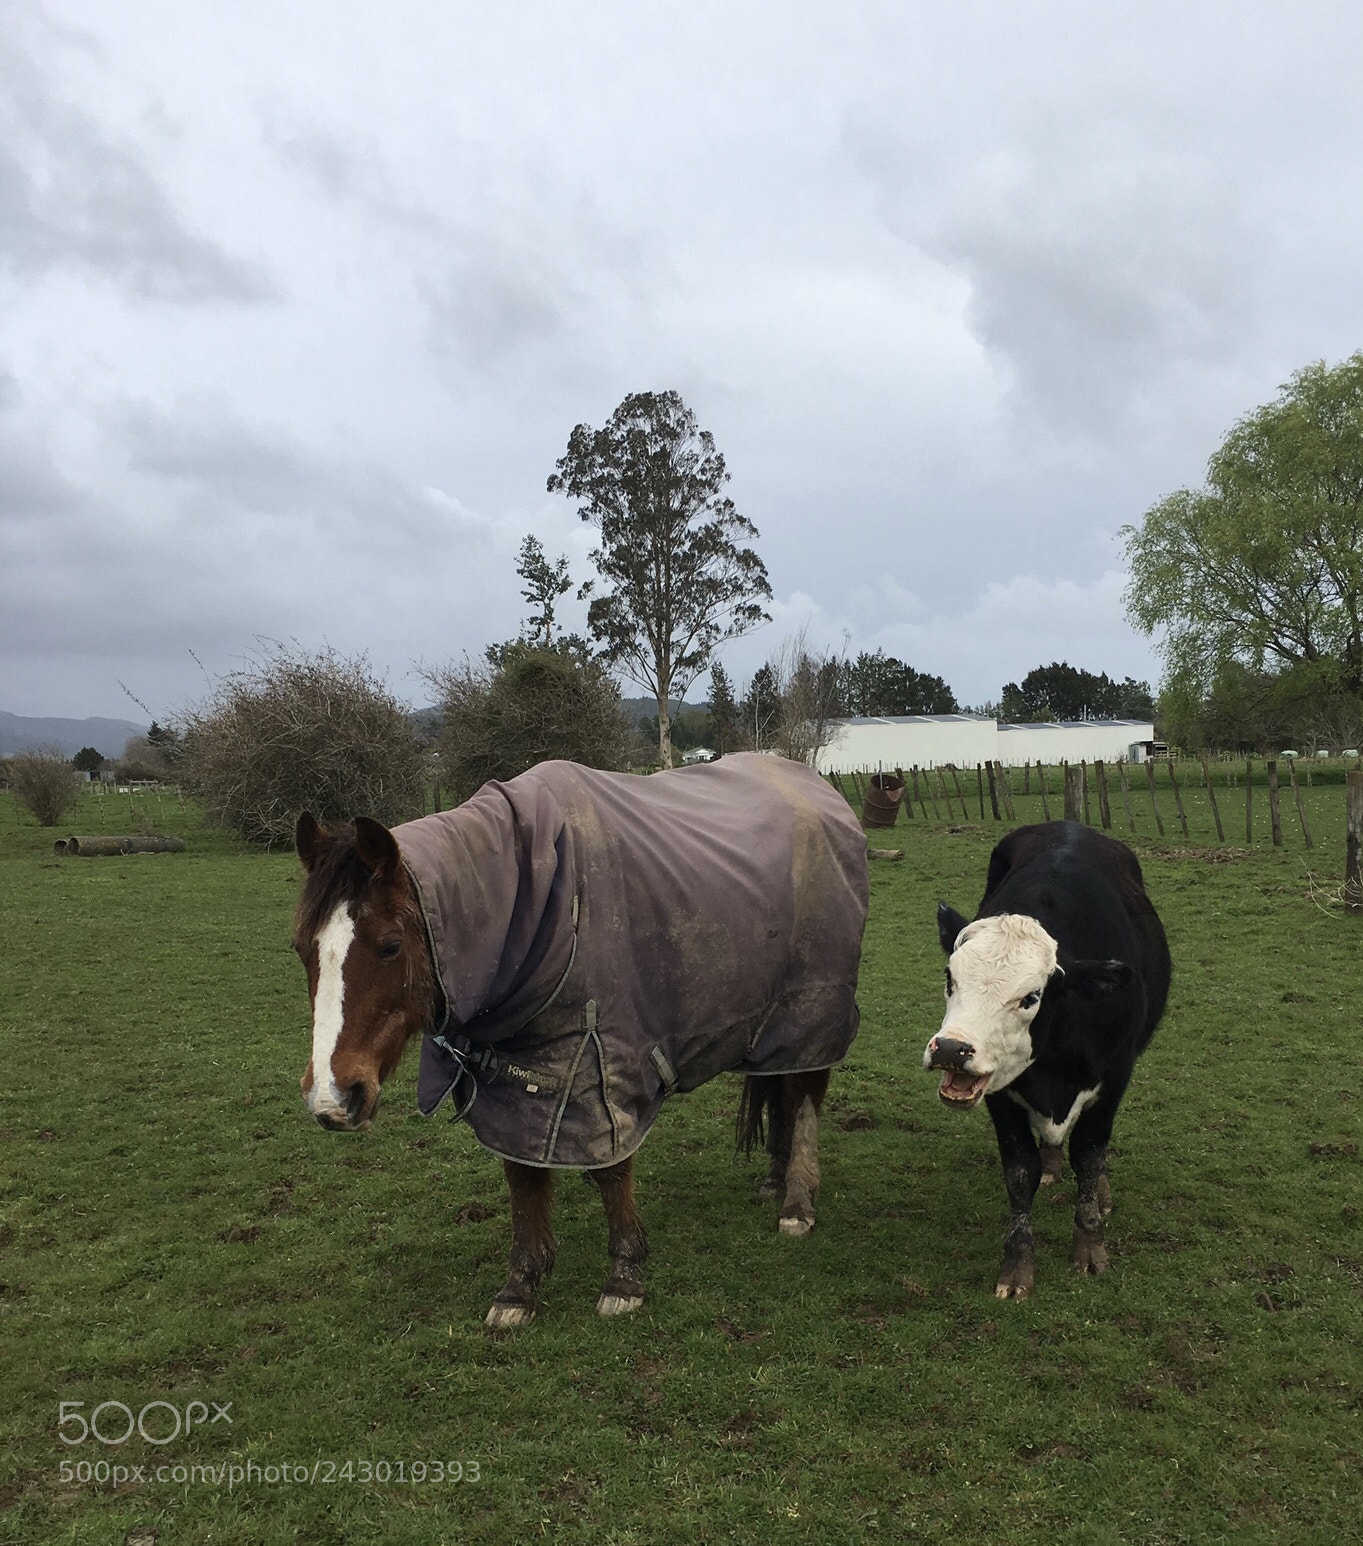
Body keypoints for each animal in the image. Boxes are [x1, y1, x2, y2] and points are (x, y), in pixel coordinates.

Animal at [924, 821, 1171, 1299]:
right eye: (950, 977)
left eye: (1031, 997)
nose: (950, 1049)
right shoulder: (1000, 1091)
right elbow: (1022, 1171)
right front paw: (1017, 1265)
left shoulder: (1114, 1079)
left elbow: (1089, 1156)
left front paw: (1091, 1246)